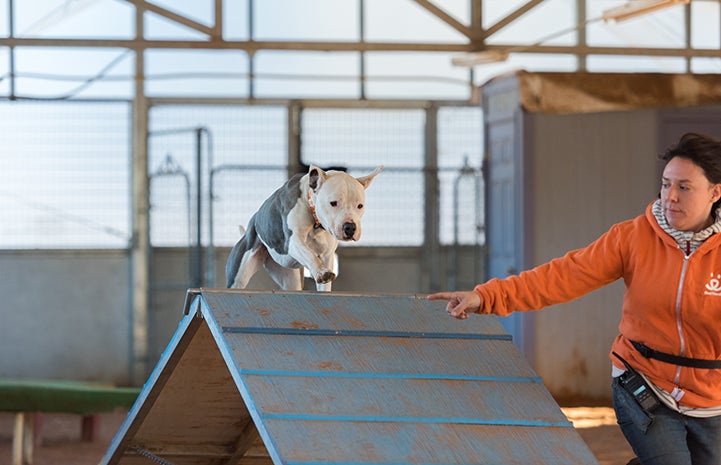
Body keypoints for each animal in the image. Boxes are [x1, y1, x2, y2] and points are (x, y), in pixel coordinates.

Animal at [225, 165, 382, 290]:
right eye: (333, 203)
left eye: (360, 206)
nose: (350, 227)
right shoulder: (293, 241)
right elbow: (309, 253)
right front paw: (321, 272)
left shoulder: (327, 255)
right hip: (239, 275)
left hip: (289, 279)